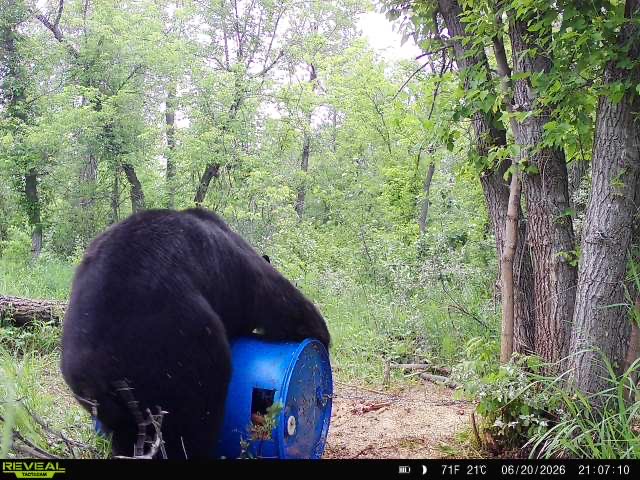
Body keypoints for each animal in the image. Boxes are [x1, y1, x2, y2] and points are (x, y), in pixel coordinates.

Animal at [60, 208, 330, 459]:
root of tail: (97, 371)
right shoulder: (243, 271)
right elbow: (282, 302)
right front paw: (321, 338)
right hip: (182, 352)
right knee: (196, 420)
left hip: (111, 405)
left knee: (129, 433)